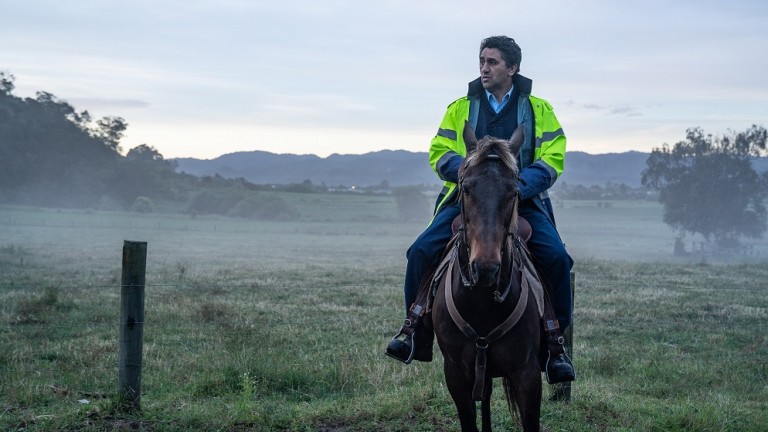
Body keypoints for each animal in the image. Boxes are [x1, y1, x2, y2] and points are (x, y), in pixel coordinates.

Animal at [428, 125, 544, 432]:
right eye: (466, 189)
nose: (485, 268)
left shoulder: (528, 374)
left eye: (514, 192)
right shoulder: (455, 373)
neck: (481, 302)